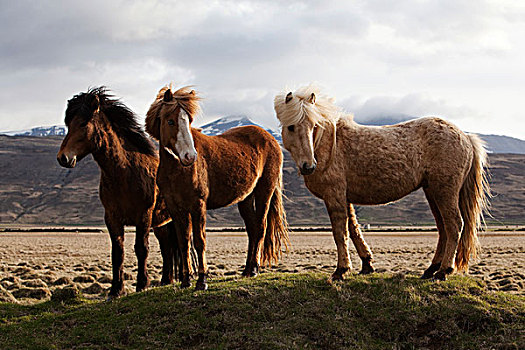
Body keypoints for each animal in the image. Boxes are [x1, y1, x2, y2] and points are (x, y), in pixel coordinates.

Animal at [56, 87, 180, 298]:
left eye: (83, 123)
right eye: (68, 124)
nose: (63, 158)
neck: (125, 171)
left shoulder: (143, 215)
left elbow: (141, 249)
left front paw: (142, 284)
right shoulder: (112, 217)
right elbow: (117, 251)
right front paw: (115, 290)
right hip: (161, 223)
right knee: (167, 247)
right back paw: (166, 280)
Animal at [145, 85, 288, 290]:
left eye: (189, 120)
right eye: (170, 121)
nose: (190, 156)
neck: (176, 169)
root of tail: (271, 139)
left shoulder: (197, 205)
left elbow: (199, 241)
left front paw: (202, 281)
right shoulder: (176, 208)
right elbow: (183, 242)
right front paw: (186, 281)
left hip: (264, 191)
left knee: (261, 227)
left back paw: (254, 269)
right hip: (246, 198)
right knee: (252, 230)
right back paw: (246, 270)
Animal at [274, 85, 488, 282]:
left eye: (313, 126)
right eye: (291, 126)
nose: (308, 166)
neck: (329, 145)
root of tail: (466, 137)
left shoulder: (334, 196)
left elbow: (340, 233)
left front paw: (341, 271)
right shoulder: (344, 197)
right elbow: (353, 229)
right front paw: (366, 264)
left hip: (445, 191)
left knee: (454, 225)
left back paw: (443, 271)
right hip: (433, 192)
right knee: (443, 228)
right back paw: (430, 270)